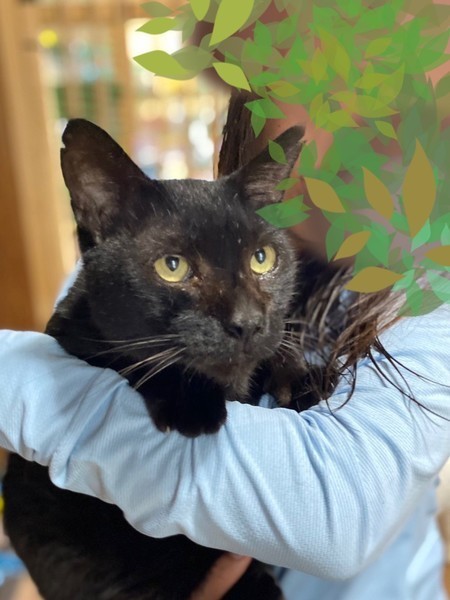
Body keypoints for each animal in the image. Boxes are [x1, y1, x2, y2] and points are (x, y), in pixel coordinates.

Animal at [4, 119, 314, 599]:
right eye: (173, 266)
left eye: (262, 259)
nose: (247, 321)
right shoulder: (72, 343)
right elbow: (140, 360)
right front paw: (192, 404)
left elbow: (280, 341)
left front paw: (299, 376)